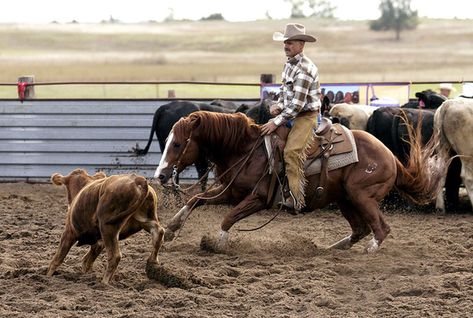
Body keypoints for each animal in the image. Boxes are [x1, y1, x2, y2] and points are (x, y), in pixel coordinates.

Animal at [155, 110, 438, 252]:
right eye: (167, 141)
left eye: (178, 143)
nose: (160, 175)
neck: (245, 150)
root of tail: (390, 156)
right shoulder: (231, 192)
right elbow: (195, 199)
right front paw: (170, 230)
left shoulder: (259, 198)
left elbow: (228, 218)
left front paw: (218, 244)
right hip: (345, 198)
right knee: (360, 229)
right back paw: (332, 248)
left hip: (361, 196)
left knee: (380, 229)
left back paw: (369, 252)